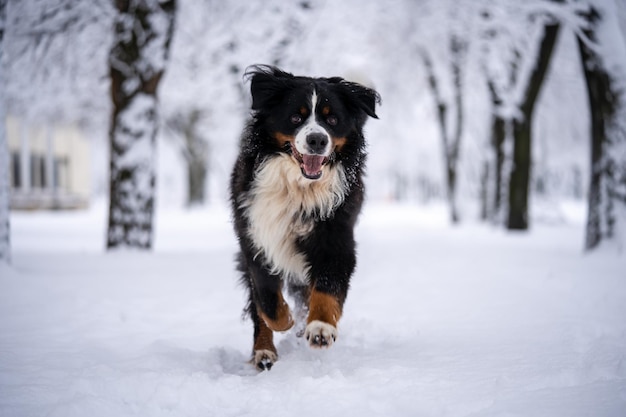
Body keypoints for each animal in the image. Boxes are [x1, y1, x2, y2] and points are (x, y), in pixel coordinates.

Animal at [228, 63, 378, 368]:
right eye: (296, 116)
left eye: (331, 120)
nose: (317, 139)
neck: (298, 187)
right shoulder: (256, 236)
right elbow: (266, 300)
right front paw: (285, 321)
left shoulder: (336, 238)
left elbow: (327, 287)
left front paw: (320, 327)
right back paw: (264, 352)